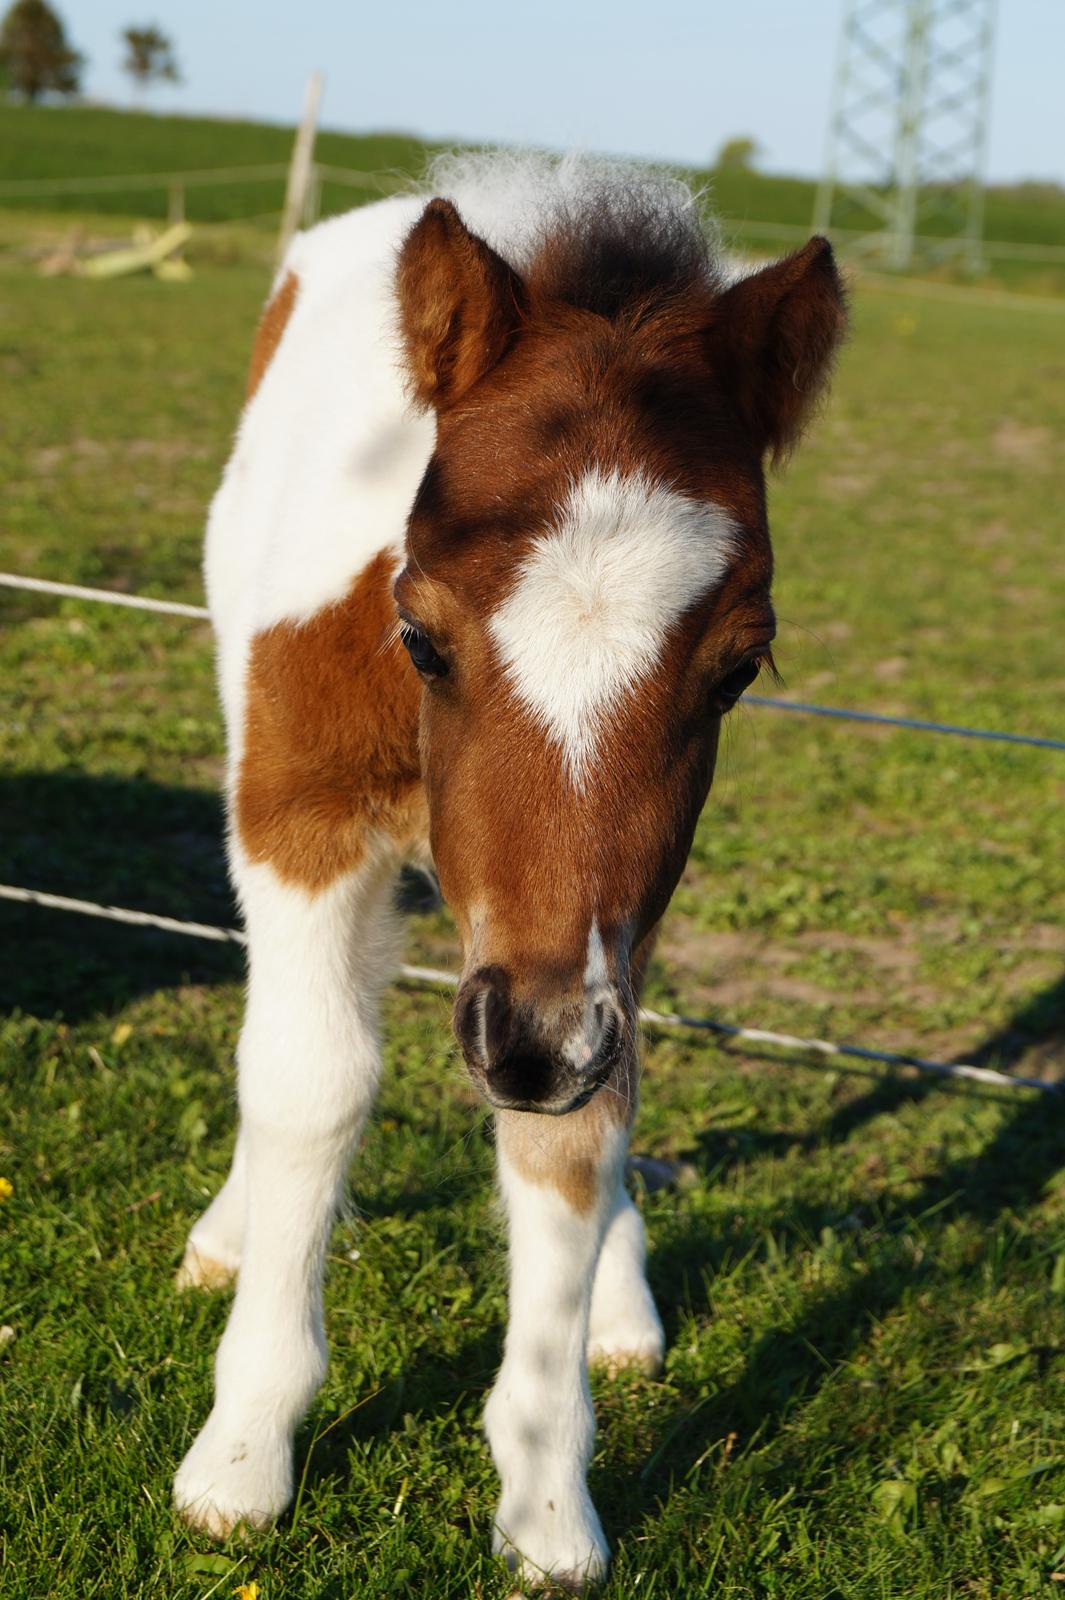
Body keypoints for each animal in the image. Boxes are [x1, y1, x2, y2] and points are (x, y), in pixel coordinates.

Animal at [171, 152, 837, 1587]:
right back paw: (232, 1237)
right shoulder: (298, 814)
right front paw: (242, 1454)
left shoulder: (589, 943)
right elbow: (310, 1082)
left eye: (736, 667)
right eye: (420, 633)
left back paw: (621, 1304)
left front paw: (545, 1506)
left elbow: (580, 1133)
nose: (526, 1046)